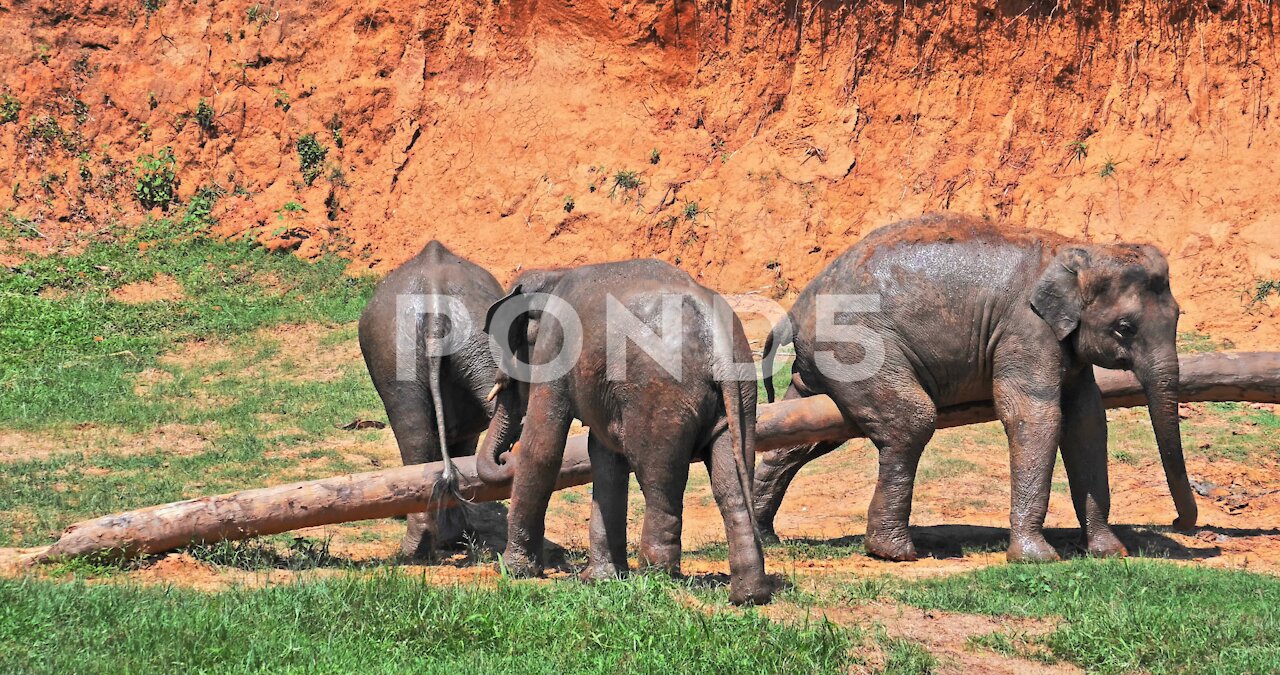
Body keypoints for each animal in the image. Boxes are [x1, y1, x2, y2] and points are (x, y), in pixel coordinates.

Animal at [360, 242, 504, 561]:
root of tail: (436, 311)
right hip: (408, 348)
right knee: (417, 434)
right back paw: (435, 543)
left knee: (416, 436)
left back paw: (423, 547)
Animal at [473, 260, 762, 607]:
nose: (505, 457)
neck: (553, 273)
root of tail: (716, 341)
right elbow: (605, 459)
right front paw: (599, 580)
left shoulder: (554, 347)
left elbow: (543, 448)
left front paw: (512, 571)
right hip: (742, 394)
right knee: (730, 482)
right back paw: (748, 595)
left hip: (658, 394)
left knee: (659, 480)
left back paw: (656, 578)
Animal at [752, 213, 1192, 563]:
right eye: (1125, 328)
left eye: (1178, 316)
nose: (1180, 522)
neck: (1074, 250)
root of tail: (798, 305)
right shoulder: (1025, 329)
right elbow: (1035, 416)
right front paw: (1036, 558)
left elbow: (1087, 424)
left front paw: (1110, 552)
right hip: (856, 347)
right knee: (911, 421)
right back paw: (894, 552)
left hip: (825, 360)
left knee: (806, 434)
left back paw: (765, 536)